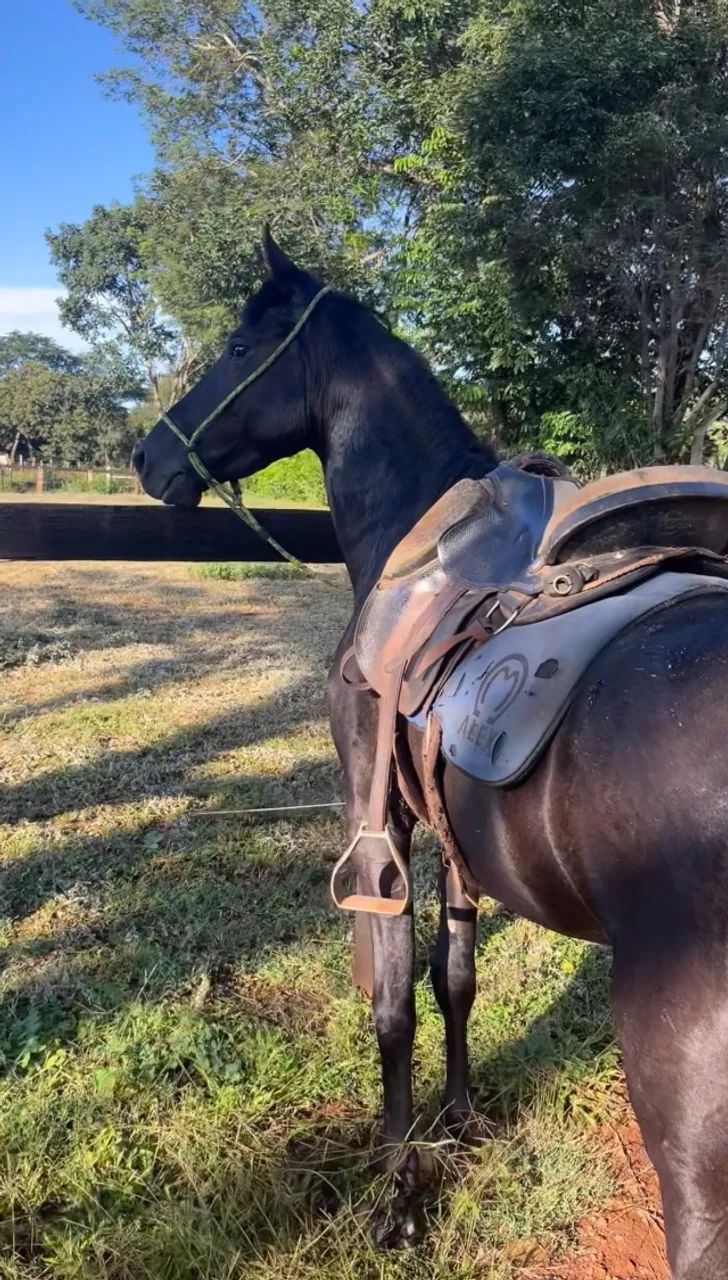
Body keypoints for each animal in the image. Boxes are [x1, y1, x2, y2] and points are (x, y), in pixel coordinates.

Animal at [134, 232, 728, 1279]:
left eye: (243, 344)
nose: (147, 454)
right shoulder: (451, 832)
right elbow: (455, 981)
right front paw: (459, 1120)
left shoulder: (379, 821)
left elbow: (393, 1004)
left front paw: (400, 1191)